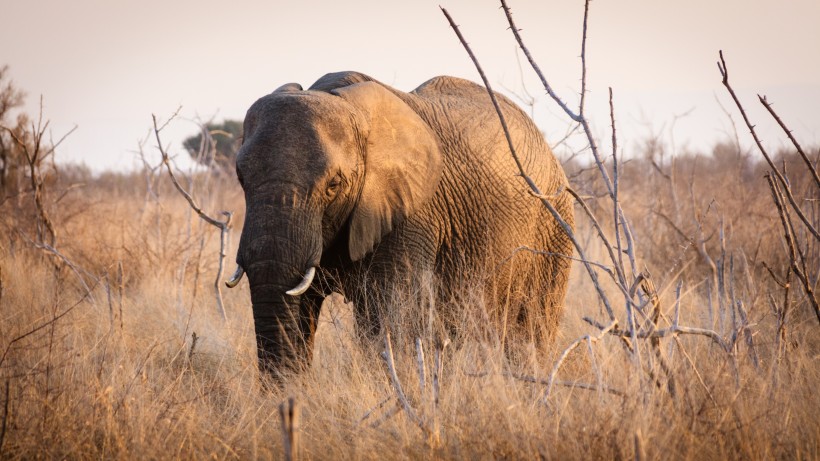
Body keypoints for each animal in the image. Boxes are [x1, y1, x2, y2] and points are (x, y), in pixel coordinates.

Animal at [224, 69, 576, 378]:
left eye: (334, 185)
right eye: (241, 177)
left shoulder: (412, 214)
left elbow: (388, 319)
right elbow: (299, 306)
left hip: (554, 229)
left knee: (530, 331)